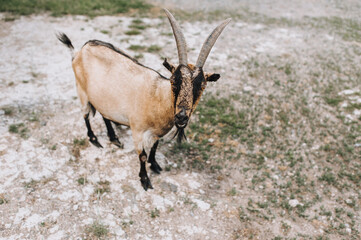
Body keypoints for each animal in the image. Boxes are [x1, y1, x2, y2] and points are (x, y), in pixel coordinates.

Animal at [57, 8, 229, 189]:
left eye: (202, 86)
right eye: (173, 80)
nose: (181, 117)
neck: (157, 97)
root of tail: (78, 51)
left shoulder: (157, 133)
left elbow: (154, 149)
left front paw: (155, 166)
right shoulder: (138, 131)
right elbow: (143, 155)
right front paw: (145, 180)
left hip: (102, 97)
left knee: (104, 115)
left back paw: (115, 139)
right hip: (81, 90)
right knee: (85, 115)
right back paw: (94, 139)